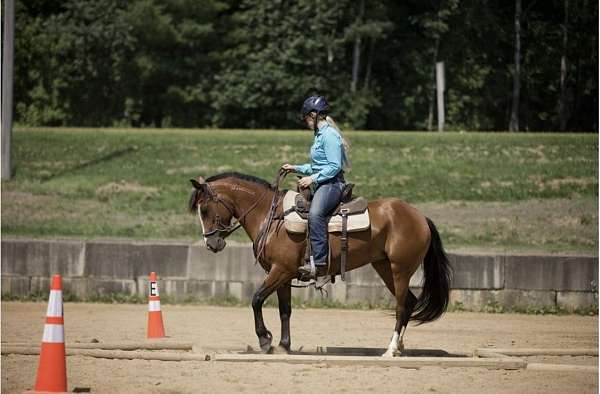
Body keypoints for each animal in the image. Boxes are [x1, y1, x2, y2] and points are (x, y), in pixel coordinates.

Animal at [188, 171, 450, 356]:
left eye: (205, 208)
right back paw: (400, 347)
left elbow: (256, 299)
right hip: (384, 267)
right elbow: (285, 310)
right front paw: (283, 345)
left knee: (401, 306)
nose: (212, 243)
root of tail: (419, 216)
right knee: (409, 303)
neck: (271, 217)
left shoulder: (280, 271)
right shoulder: (283, 275)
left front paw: (265, 340)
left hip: (399, 269)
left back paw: (390, 349)